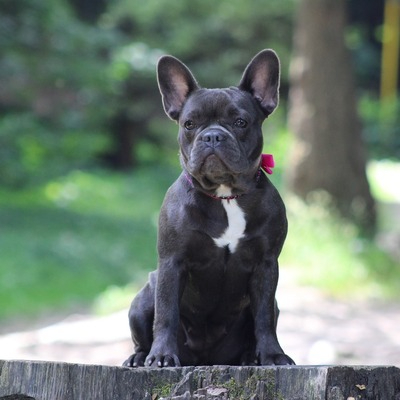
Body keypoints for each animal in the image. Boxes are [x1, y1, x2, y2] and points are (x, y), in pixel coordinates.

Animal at [123, 50, 296, 368]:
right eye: (189, 124)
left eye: (240, 122)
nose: (213, 136)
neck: (225, 195)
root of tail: (204, 359)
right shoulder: (172, 262)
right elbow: (166, 313)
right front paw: (162, 356)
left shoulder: (266, 265)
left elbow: (264, 317)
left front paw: (272, 355)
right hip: (142, 299)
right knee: (146, 325)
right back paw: (140, 357)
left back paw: (250, 358)